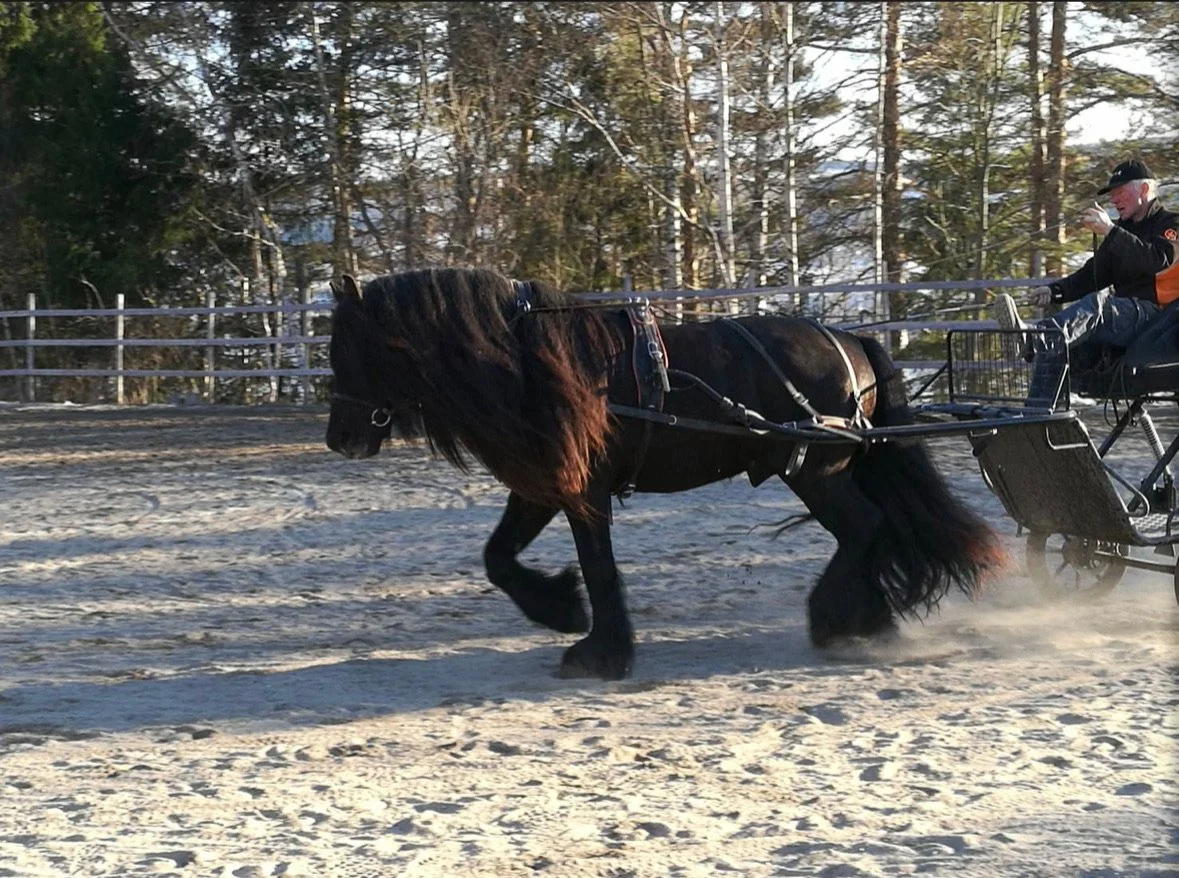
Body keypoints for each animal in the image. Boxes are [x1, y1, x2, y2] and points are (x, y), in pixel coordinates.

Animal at [325, 267, 1003, 680]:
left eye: (345, 349)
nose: (339, 439)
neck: (529, 364)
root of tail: (847, 339)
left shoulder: (582, 490)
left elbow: (598, 568)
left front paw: (600, 650)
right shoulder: (542, 485)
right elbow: (498, 558)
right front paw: (562, 611)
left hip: (817, 471)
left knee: (865, 529)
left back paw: (834, 618)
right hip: (825, 470)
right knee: (871, 531)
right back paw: (867, 620)